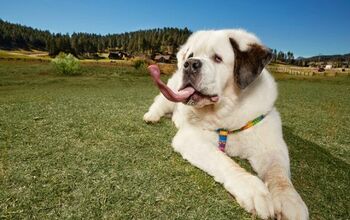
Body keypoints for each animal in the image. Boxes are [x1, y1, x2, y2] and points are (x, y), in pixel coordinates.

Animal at [144, 29, 308, 220]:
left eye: (217, 58)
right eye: (191, 55)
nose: (189, 63)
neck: (229, 110)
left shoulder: (270, 143)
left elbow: (278, 173)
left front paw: (290, 200)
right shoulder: (190, 138)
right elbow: (224, 161)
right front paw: (254, 190)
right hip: (170, 93)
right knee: (160, 103)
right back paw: (151, 116)